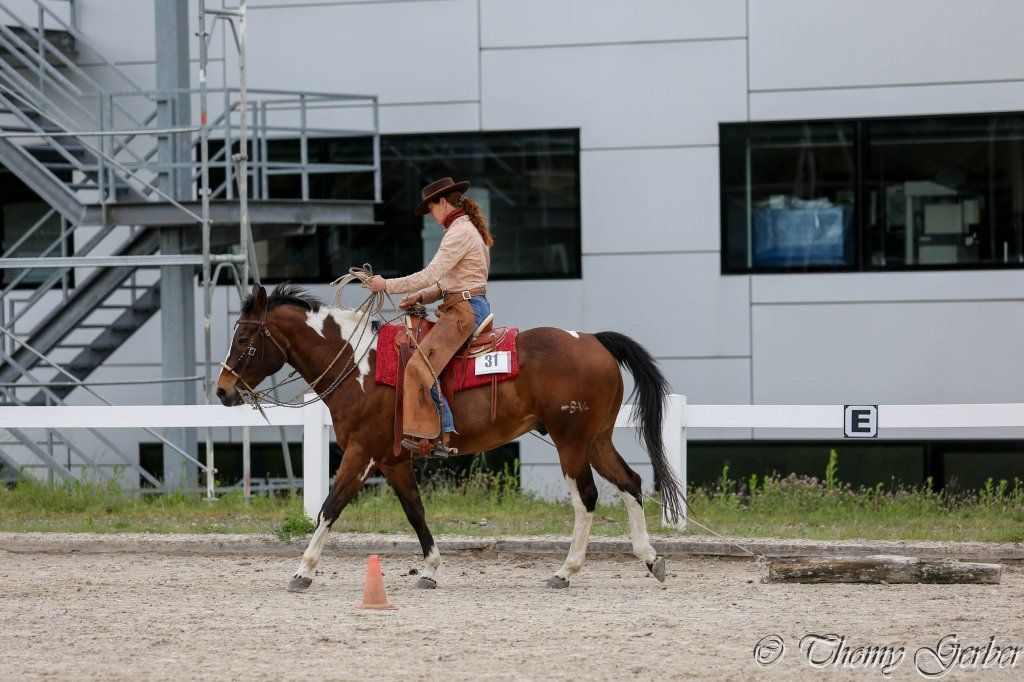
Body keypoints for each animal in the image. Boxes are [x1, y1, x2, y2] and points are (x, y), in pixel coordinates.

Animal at [216, 283, 684, 590]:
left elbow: (329, 507)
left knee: (586, 499)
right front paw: (429, 569)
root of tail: (593, 340)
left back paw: (565, 571)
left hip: (571, 444)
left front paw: (304, 570)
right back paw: (650, 559)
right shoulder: (393, 459)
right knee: (630, 484)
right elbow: (415, 511)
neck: (359, 365)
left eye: (245, 336)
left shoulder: (361, 453)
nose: (222, 390)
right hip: (597, 440)